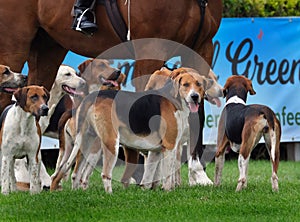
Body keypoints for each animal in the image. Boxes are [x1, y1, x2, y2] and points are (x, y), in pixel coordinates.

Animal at [0, 0, 220, 184]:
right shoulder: (151, 49)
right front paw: (150, 174)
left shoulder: (202, 47)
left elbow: (197, 114)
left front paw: (197, 175)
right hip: (14, 46)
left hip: (47, 48)